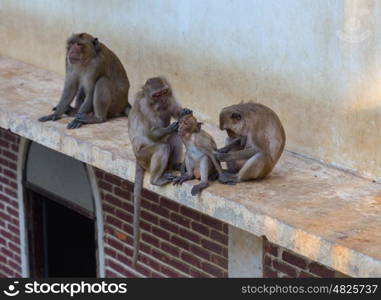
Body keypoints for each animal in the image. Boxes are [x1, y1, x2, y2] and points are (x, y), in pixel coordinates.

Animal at [127, 77, 190, 264]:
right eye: (156, 95)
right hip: (144, 157)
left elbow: (176, 111)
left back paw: (173, 166)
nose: (162, 100)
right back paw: (156, 179)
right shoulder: (145, 106)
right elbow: (153, 132)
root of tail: (137, 158)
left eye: (163, 92)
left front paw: (183, 112)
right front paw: (171, 127)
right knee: (162, 146)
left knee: (174, 138)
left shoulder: (170, 99)